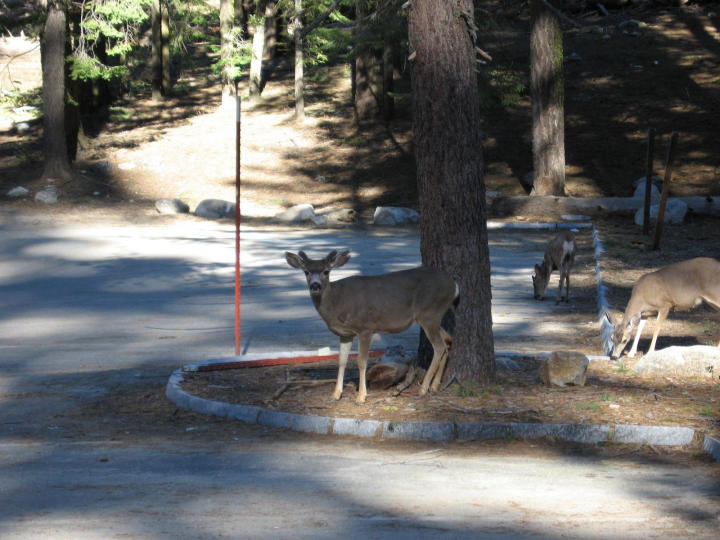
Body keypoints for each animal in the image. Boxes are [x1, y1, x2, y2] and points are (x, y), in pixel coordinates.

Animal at [286, 251, 458, 402]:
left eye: (326, 271)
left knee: (439, 347)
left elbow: (362, 361)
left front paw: (361, 397)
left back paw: (423, 389)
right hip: (432, 317)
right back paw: (434, 386)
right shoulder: (345, 334)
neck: (337, 303)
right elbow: (342, 361)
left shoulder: (365, 328)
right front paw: (335, 394)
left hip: (429, 313)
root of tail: (455, 285)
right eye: (306, 271)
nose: (315, 285)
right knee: (448, 340)